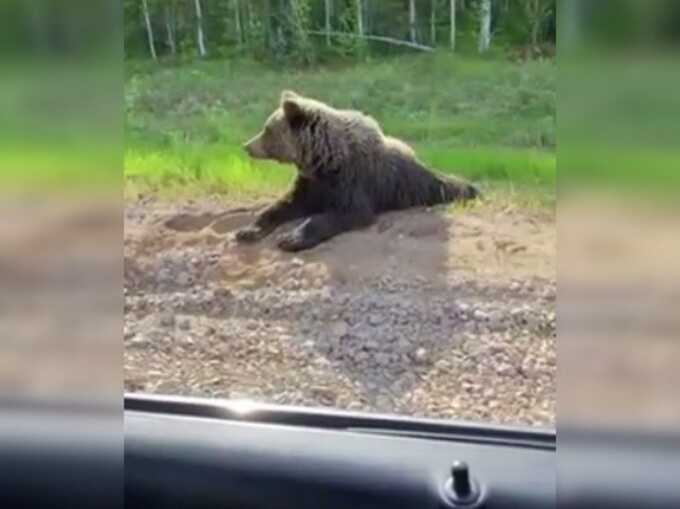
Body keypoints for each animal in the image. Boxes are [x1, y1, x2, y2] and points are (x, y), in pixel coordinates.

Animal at [236, 91, 480, 252]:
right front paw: (248, 230)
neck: (322, 160)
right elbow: (284, 205)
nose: (247, 145)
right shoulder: (311, 183)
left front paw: (291, 238)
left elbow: (346, 212)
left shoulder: (351, 181)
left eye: (267, 130)